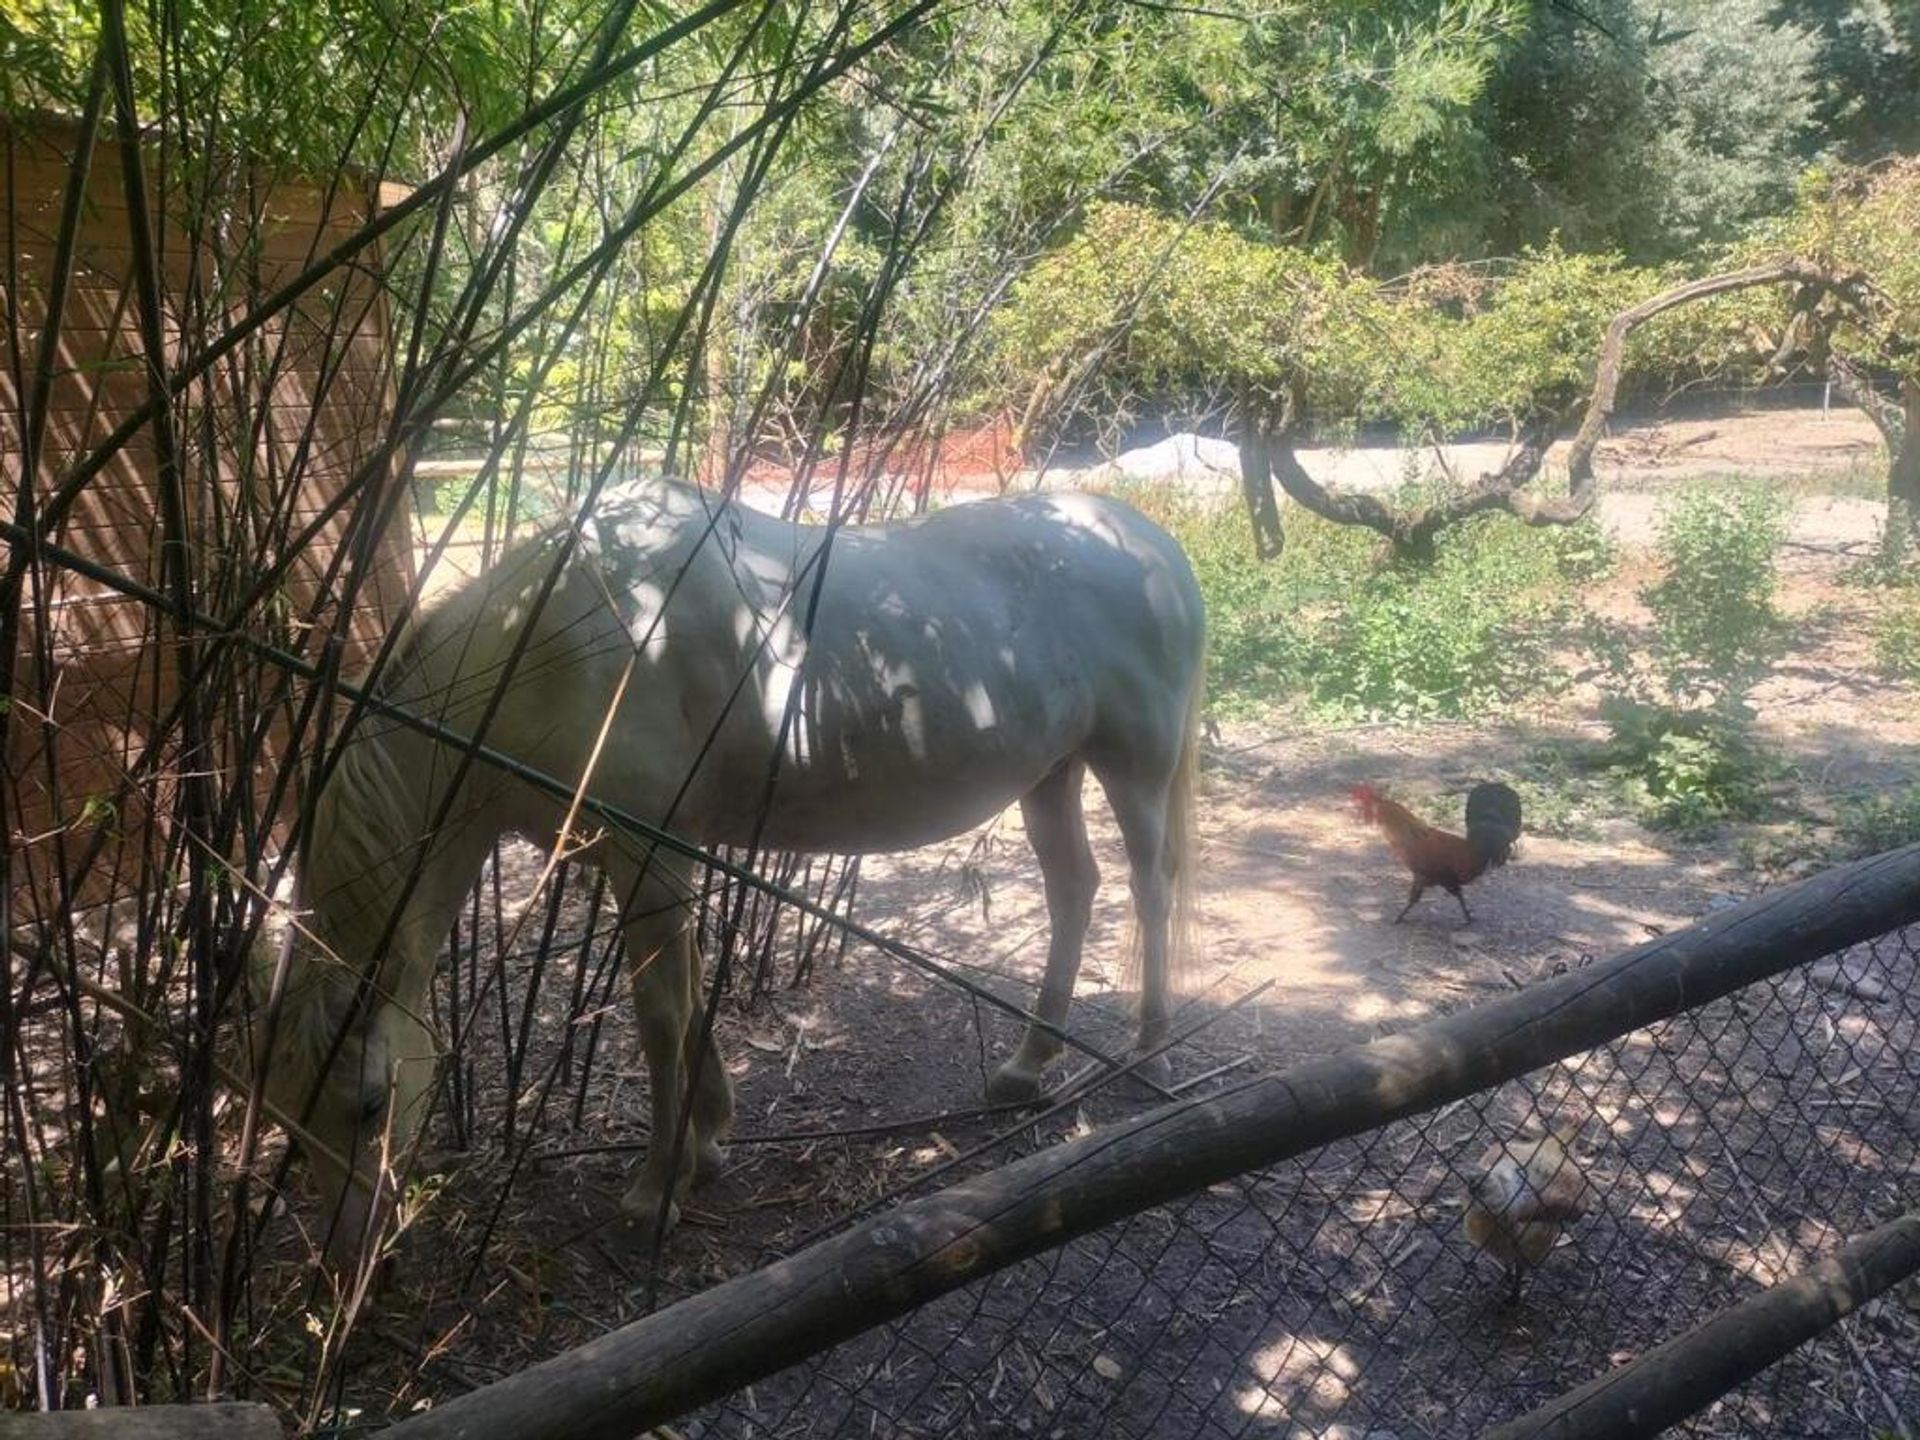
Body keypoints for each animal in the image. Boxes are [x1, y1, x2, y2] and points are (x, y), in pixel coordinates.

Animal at [264, 476, 1205, 1259]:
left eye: (371, 1102)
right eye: (283, 1115)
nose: (353, 1256)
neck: (558, 645)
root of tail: (1152, 543)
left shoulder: (645, 851)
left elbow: (659, 1014)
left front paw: (655, 1191)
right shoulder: (665, 855)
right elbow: (687, 991)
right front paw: (708, 1137)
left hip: (1134, 766)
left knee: (1149, 889)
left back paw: (1152, 1053)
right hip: (1051, 772)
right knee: (1073, 889)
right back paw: (1027, 1065)